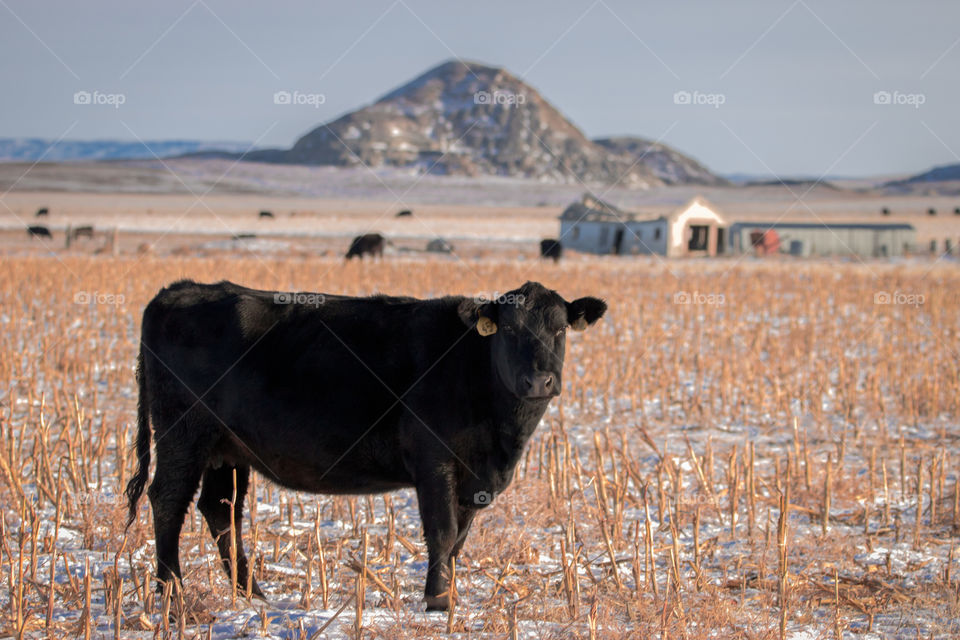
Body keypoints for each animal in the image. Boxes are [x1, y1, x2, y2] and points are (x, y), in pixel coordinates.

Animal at [125, 280, 608, 608]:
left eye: (561, 330)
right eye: (509, 331)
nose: (539, 381)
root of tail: (180, 290)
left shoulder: (475, 478)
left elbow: (459, 538)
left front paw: (448, 592)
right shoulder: (434, 461)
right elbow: (442, 531)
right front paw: (437, 601)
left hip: (226, 451)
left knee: (221, 510)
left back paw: (251, 594)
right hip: (183, 435)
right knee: (168, 500)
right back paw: (172, 593)